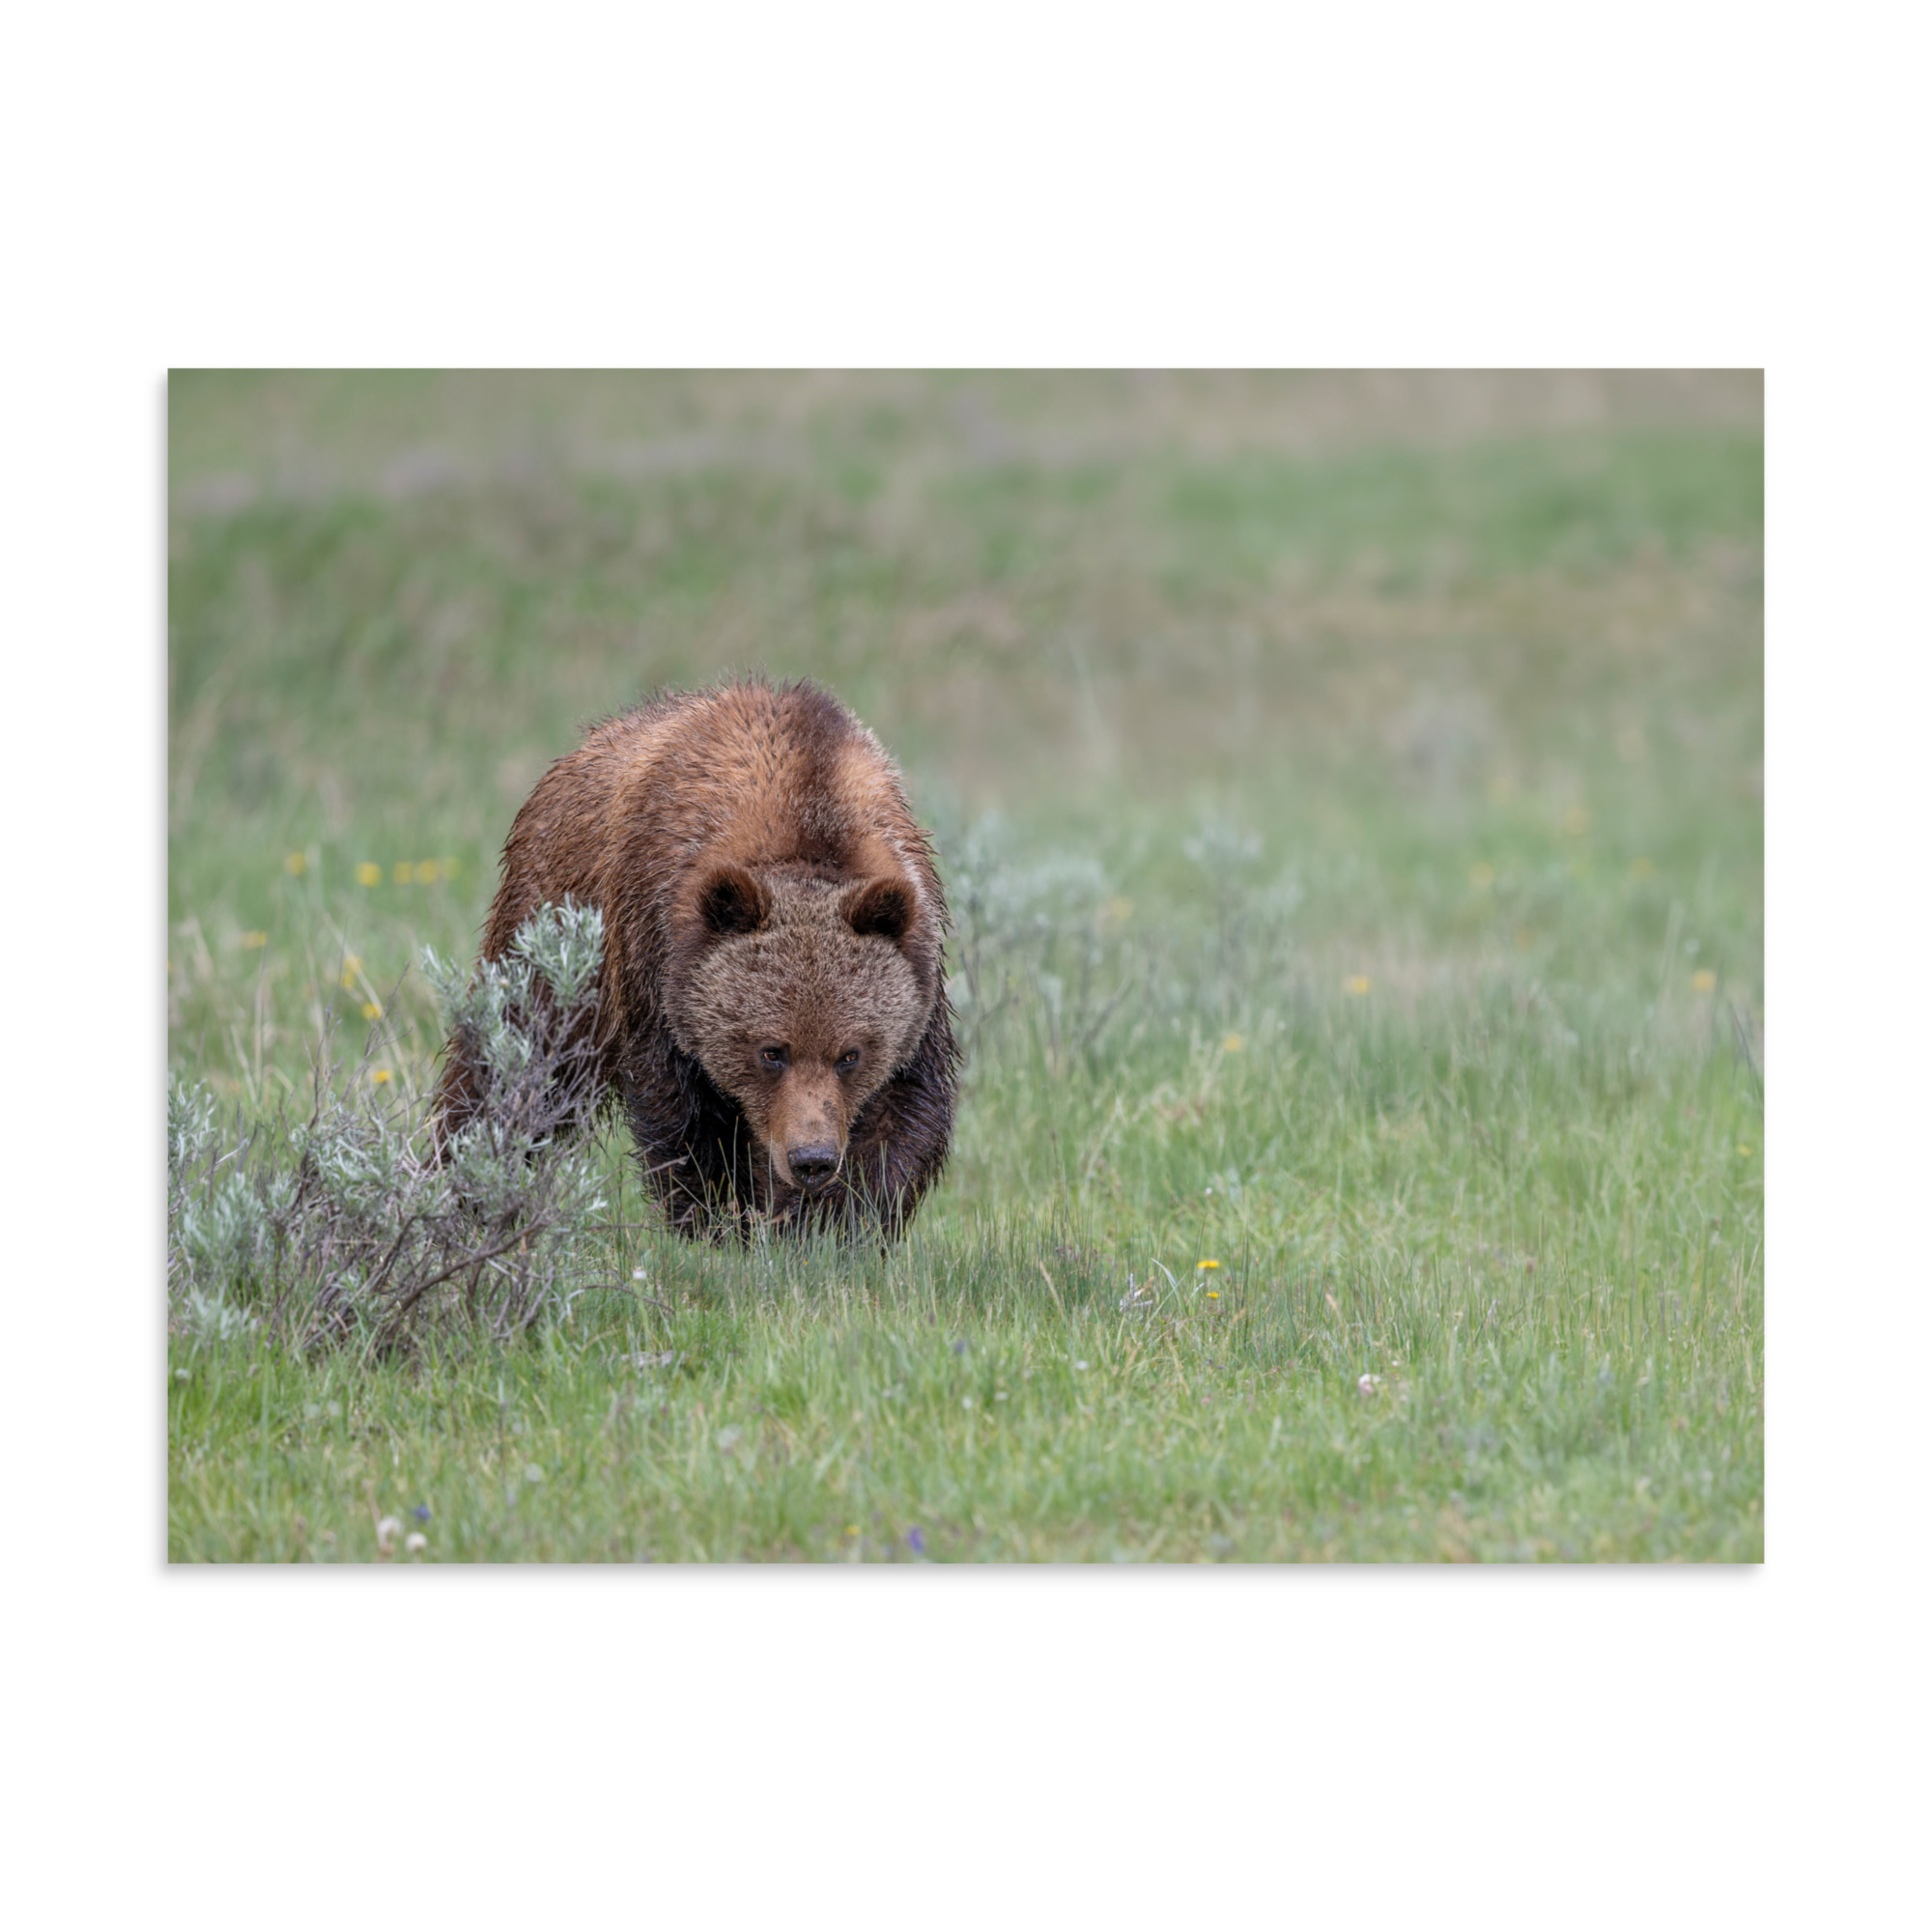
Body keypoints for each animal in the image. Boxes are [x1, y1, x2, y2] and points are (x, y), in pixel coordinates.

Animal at [436, 677, 961, 1241]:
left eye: (850, 1054)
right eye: (771, 1051)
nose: (812, 1159)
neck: (807, 815)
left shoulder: (918, 973)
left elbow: (901, 1116)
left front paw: (830, 1226)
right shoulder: (656, 959)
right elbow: (686, 1119)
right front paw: (720, 1222)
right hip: (552, 934)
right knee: (511, 1064)